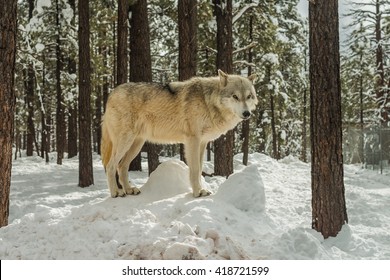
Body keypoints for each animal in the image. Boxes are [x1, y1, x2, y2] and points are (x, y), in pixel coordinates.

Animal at [102, 69, 258, 198]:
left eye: (249, 96)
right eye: (235, 96)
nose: (247, 114)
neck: (208, 102)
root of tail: (111, 94)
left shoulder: (202, 143)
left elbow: (199, 169)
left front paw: (201, 189)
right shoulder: (192, 141)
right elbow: (195, 169)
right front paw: (197, 192)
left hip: (136, 144)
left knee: (121, 166)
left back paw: (129, 190)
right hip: (126, 142)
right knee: (111, 166)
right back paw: (116, 192)